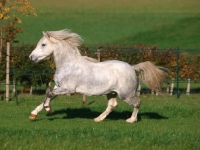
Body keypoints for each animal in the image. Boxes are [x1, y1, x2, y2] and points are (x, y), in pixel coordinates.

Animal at [28, 29, 166, 123]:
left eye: (43, 44)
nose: (31, 57)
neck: (68, 64)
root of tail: (132, 67)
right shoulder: (59, 86)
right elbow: (48, 95)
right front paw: (33, 114)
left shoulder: (68, 89)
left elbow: (49, 95)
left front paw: (47, 109)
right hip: (111, 92)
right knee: (112, 105)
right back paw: (98, 119)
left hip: (126, 94)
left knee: (137, 102)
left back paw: (131, 120)